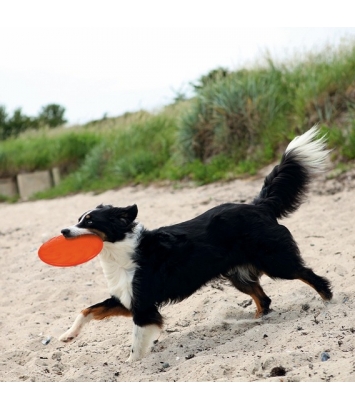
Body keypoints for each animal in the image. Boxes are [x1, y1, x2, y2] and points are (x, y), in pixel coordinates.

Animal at [59, 125, 334, 362]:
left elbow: (136, 344)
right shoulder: (128, 299)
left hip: (275, 261)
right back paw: (256, 322)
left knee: (309, 275)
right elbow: (87, 310)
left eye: (89, 221)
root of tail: (259, 206)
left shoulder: (144, 306)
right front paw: (68, 335)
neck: (119, 251)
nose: (63, 231)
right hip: (239, 274)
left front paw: (131, 364)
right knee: (264, 300)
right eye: (79, 219)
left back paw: (329, 301)